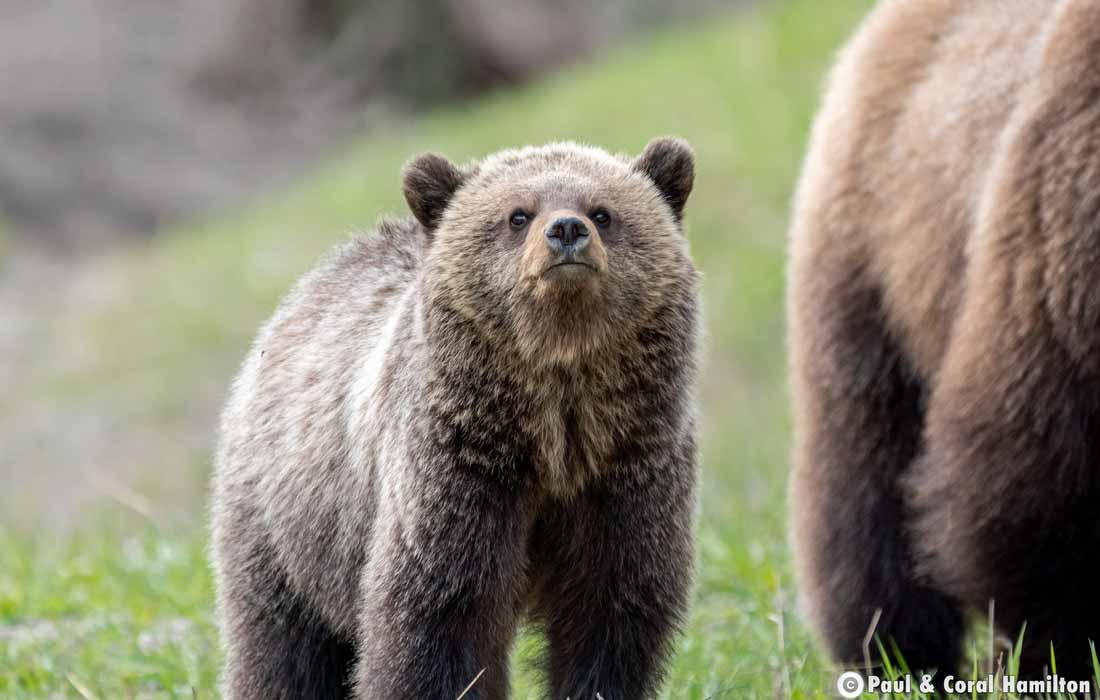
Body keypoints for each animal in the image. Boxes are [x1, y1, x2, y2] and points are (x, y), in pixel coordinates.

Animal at [210, 138, 699, 700]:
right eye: (517, 214)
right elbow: (438, 616)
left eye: (603, 211)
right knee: (283, 649)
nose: (566, 230)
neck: (552, 430)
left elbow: (610, 612)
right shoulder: (458, 472)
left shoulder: (627, 471)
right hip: (287, 521)